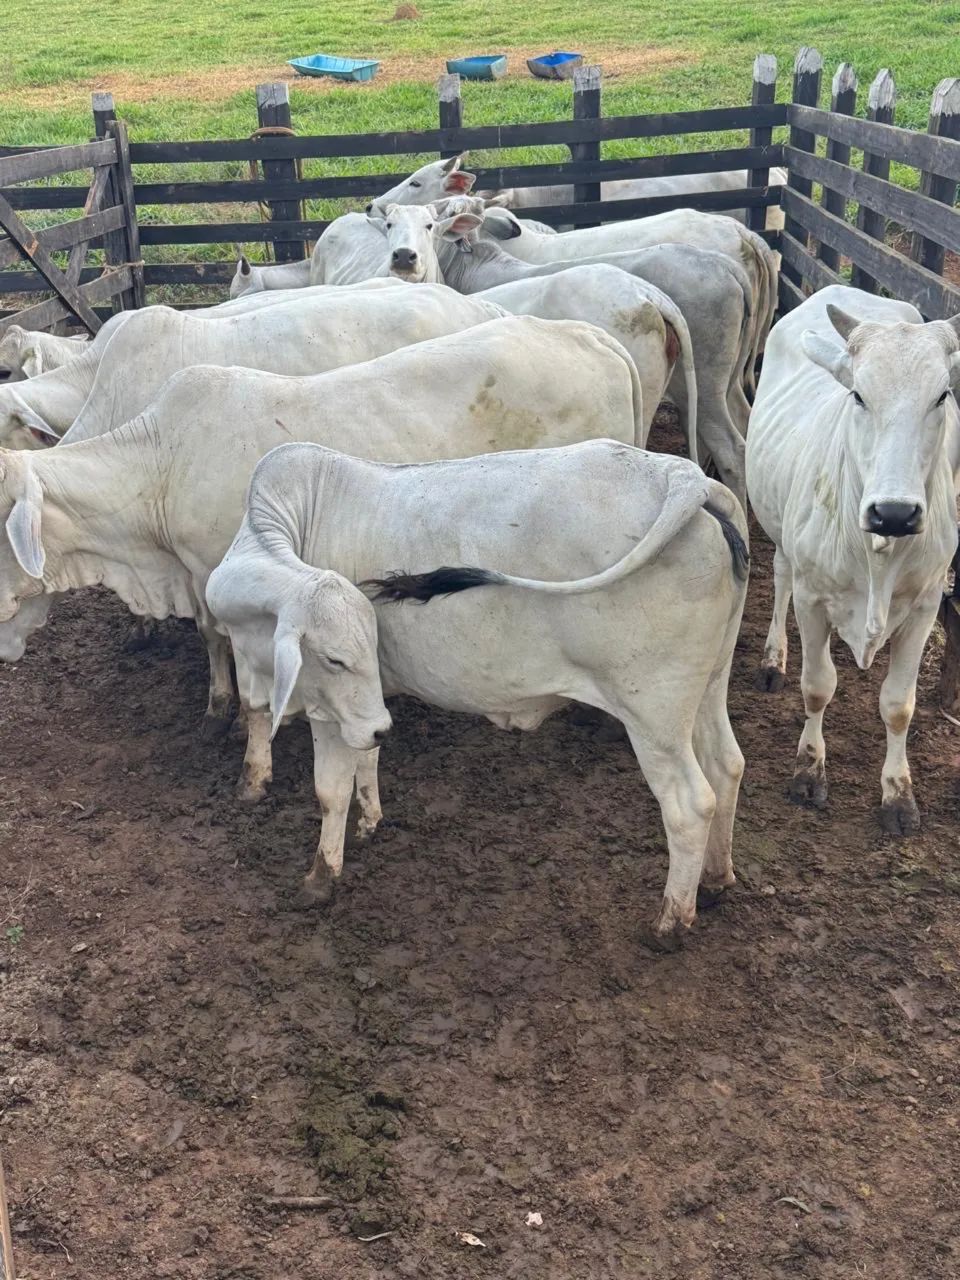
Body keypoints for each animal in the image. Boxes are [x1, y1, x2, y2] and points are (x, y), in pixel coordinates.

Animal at [206, 438, 748, 944]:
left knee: (690, 804)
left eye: (336, 659)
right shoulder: (362, 709)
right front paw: (370, 819)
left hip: (653, 713)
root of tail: (684, 478)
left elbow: (329, 791)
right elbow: (368, 757)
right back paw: (716, 879)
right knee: (728, 765)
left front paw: (320, 878)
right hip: (708, 686)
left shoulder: (331, 712)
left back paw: (671, 921)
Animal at [746, 285, 960, 834]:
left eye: (942, 395)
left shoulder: (927, 604)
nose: (894, 512)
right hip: (780, 531)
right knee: (780, 575)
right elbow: (818, 687)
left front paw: (899, 796)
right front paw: (809, 771)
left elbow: (899, 705)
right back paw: (773, 659)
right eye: (859, 395)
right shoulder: (812, 598)